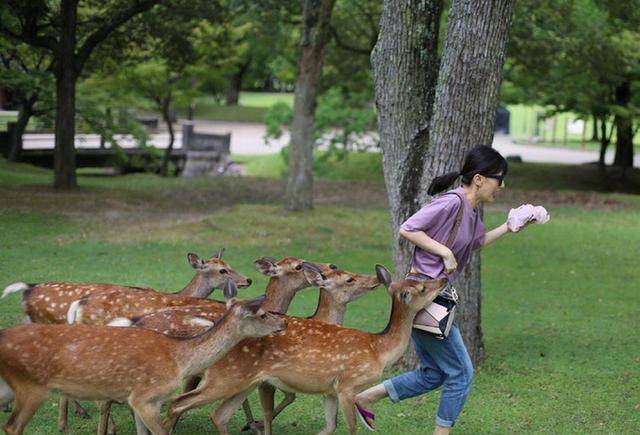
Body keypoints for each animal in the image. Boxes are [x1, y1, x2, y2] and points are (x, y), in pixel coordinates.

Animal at [0, 280, 286, 435]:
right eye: (262, 314)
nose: (283, 323)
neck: (180, 357)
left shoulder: (143, 400)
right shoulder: (145, 398)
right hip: (32, 388)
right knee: (15, 425)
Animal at [161, 266, 444, 435]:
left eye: (420, 280)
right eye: (422, 288)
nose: (443, 279)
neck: (379, 349)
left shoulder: (329, 390)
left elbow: (329, 427)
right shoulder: (347, 384)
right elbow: (350, 428)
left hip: (243, 382)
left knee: (218, 414)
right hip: (225, 378)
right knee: (178, 402)